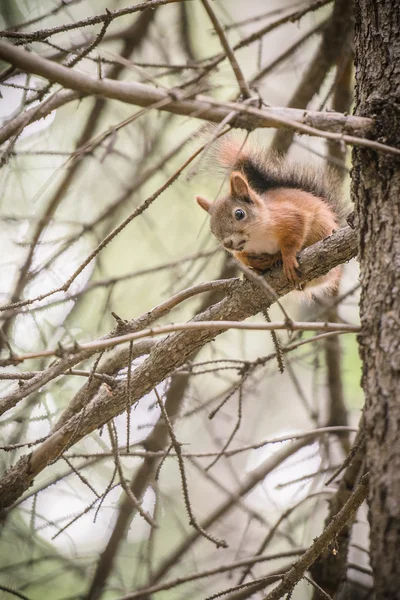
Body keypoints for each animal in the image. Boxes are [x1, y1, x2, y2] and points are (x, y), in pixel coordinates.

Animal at [195, 135, 346, 296]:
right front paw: (256, 265)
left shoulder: (288, 217)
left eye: (239, 214)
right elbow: (245, 258)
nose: (227, 244)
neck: (256, 239)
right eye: (212, 229)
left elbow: (293, 237)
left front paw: (287, 258)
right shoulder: (241, 252)